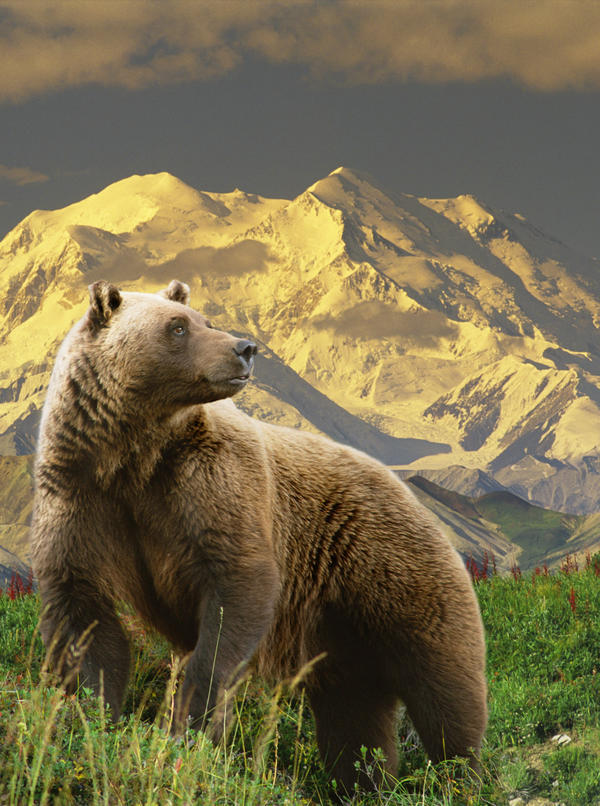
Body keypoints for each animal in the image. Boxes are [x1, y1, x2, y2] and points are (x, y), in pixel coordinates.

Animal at [30, 279, 487, 791]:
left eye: (203, 319)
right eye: (177, 327)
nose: (244, 348)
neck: (135, 453)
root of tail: (410, 493)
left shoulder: (209, 484)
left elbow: (237, 588)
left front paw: (190, 725)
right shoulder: (81, 494)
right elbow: (81, 613)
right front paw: (93, 716)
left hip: (395, 572)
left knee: (444, 688)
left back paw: (461, 775)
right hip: (341, 631)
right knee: (354, 715)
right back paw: (364, 783)